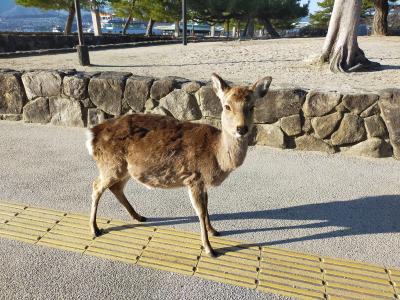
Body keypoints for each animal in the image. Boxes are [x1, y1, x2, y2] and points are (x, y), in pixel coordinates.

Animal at [86, 74, 274, 256]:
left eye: (252, 107)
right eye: (227, 106)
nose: (241, 129)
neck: (216, 155)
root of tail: (92, 135)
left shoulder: (202, 182)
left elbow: (207, 206)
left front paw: (214, 230)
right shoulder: (194, 178)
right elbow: (200, 211)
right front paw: (209, 249)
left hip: (125, 169)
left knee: (116, 188)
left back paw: (138, 217)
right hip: (111, 164)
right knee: (96, 186)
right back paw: (95, 229)